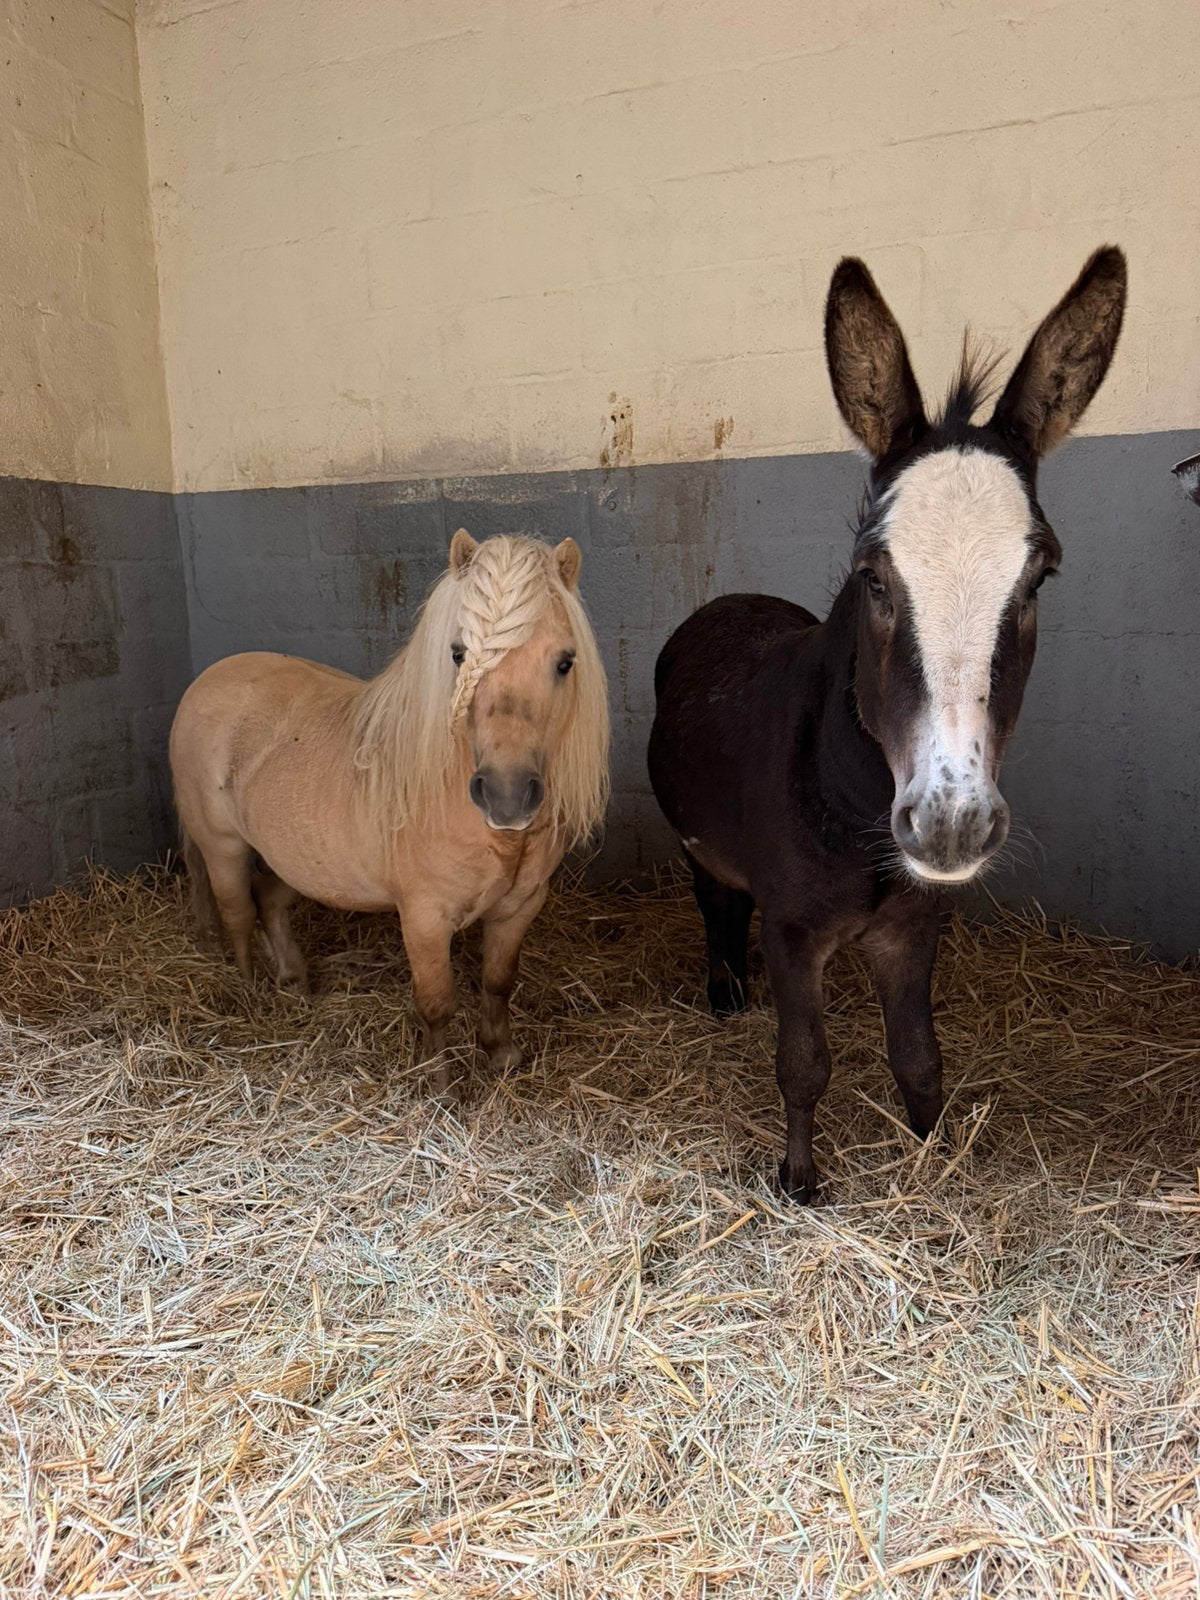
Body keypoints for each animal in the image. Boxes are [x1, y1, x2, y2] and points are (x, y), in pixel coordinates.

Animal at [170, 529, 610, 1085]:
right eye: (458, 654)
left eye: (565, 661)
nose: (506, 796)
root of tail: (210, 677)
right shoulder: (424, 918)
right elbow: (437, 1002)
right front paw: (438, 1081)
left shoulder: (519, 909)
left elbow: (498, 983)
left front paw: (501, 1053)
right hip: (223, 849)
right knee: (237, 915)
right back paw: (251, 991)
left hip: (295, 861)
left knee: (268, 904)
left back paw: (295, 980)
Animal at [648, 247, 1127, 1201]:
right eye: (872, 576)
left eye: (1041, 578)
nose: (950, 823)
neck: (852, 797)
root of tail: (729, 600)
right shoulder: (795, 931)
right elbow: (803, 1063)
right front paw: (798, 1180)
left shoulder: (913, 927)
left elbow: (919, 1059)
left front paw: (931, 1157)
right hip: (695, 843)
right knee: (716, 901)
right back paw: (726, 989)